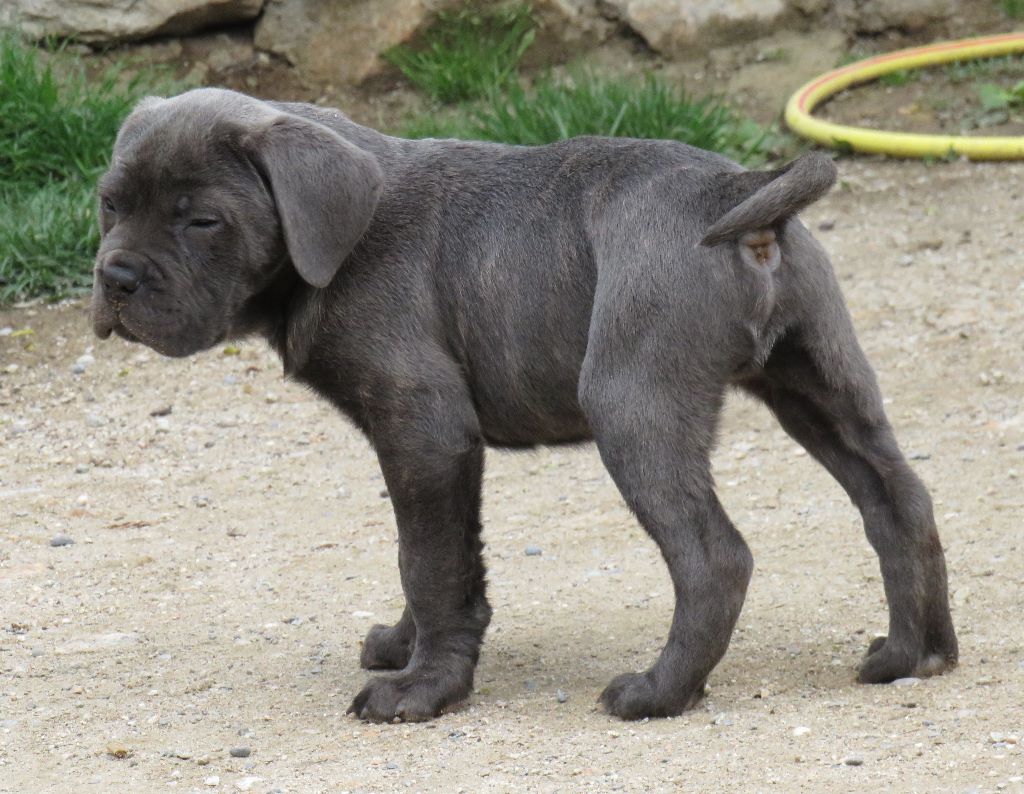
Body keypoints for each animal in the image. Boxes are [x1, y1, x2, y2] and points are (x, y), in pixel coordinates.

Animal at [92, 88, 954, 725]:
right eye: (108, 205)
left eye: (203, 221)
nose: (116, 279)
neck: (340, 239)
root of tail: (739, 191)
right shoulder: (427, 451)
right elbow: (430, 559)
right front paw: (405, 647)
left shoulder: (425, 430)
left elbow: (429, 561)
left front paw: (421, 689)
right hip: (820, 384)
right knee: (900, 500)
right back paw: (914, 653)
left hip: (632, 403)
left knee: (716, 557)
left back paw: (657, 693)